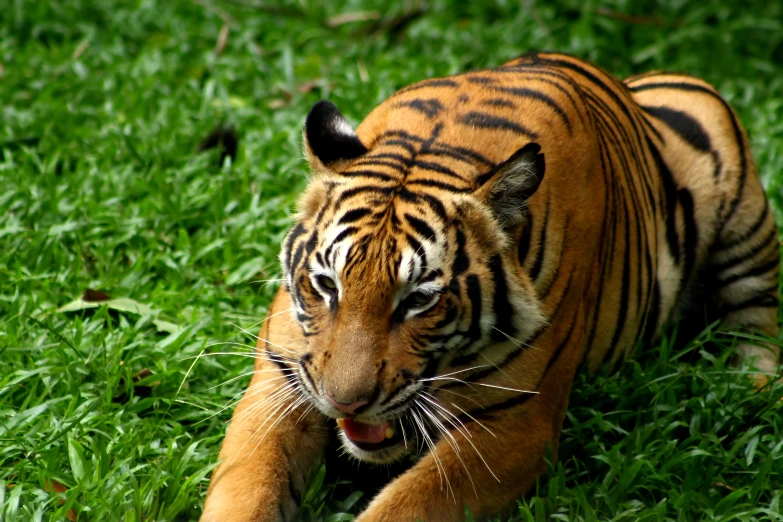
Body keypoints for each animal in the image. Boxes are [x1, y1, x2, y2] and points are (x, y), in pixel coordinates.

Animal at [201, 49, 776, 520]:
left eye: (419, 300)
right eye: (326, 285)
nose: (345, 406)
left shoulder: (515, 420)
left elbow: (406, 505)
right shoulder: (280, 381)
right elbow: (246, 488)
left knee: (759, 321)